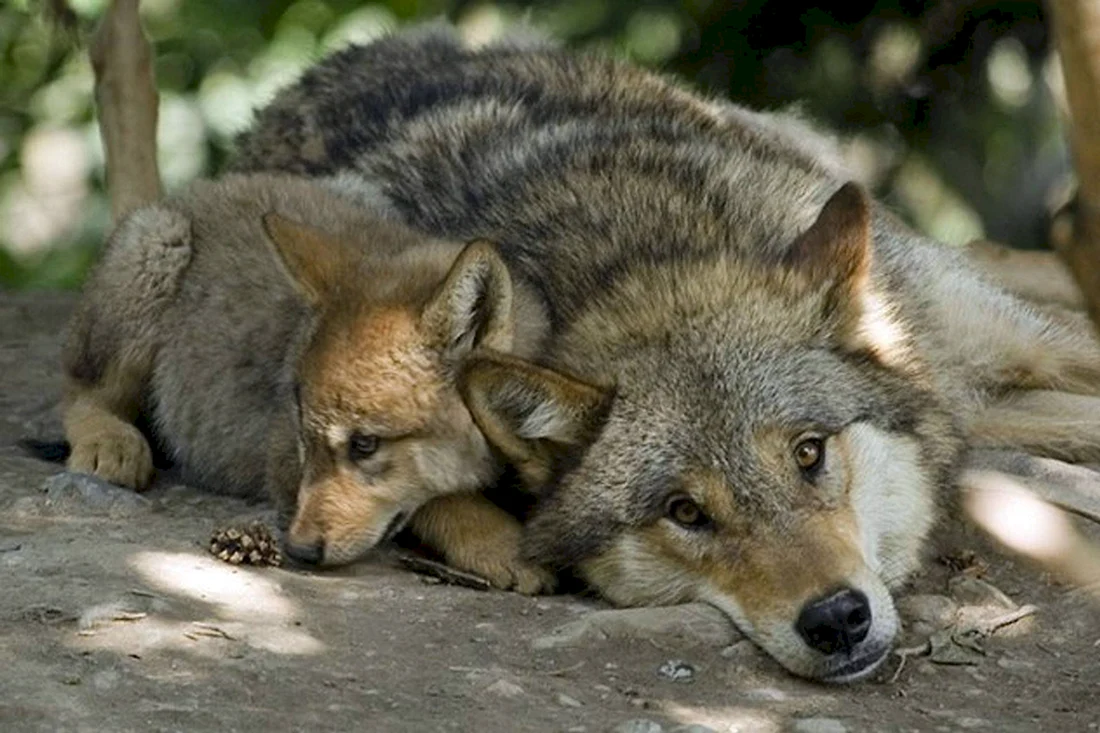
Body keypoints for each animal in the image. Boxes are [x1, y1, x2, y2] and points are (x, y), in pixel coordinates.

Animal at [59, 172, 553, 592]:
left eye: (365, 445)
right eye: (303, 434)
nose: (297, 551)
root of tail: (205, 187)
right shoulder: (279, 459)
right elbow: (440, 500)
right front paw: (502, 545)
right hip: (156, 253)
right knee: (81, 394)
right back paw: (110, 444)